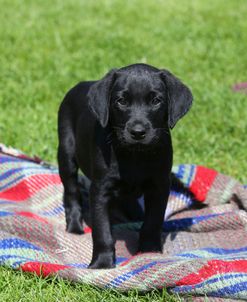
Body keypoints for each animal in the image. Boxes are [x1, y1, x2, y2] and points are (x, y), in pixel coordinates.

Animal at [58, 62, 193, 268]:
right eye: (121, 101)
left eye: (156, 101)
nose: (138, 132)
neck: (134, 154)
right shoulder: (100, 190)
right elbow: (102, 230)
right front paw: (102, 263)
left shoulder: (160, 186)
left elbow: (152, 222)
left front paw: (149, 252)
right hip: (66, 154)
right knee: (72, 192)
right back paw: (74, 226)